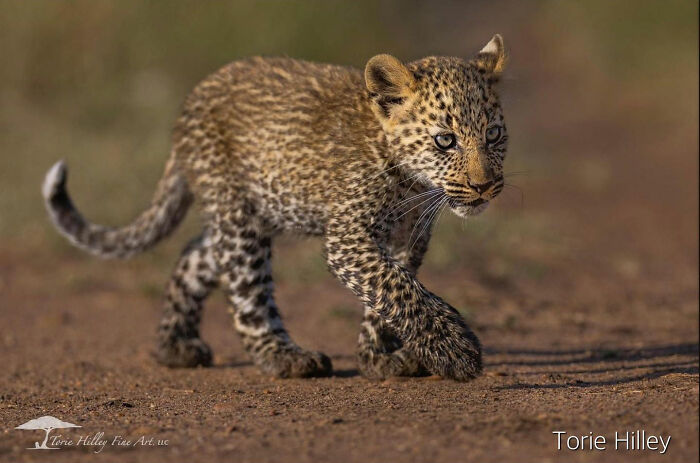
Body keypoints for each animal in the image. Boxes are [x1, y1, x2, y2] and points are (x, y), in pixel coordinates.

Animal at [42, 34, 509, 381]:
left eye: (494, 136)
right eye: (445, 141)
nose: (484, 186)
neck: (412, 185)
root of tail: (191, 101)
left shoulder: (406, 239)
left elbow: (389, 294)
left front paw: (379, 357)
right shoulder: (348, 239)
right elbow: (395, 287)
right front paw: (456, 351)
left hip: (255, 214)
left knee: (196, 255)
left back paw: (174, 346)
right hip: (239, 218)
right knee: (247, 298)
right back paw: (286, 357)